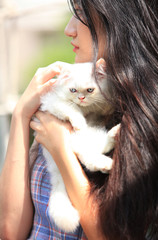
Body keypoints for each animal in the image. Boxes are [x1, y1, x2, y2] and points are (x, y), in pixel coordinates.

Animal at [37, 60, 119, 232]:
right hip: (73, 141)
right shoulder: (52, 102)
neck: (86, 109)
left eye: (90, 90)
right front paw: (79, 122)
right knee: (87, 155)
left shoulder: (98, 110)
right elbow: (72, 109)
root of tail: (54, 170)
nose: (81, 98)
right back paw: (107, 160)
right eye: (73, 90)